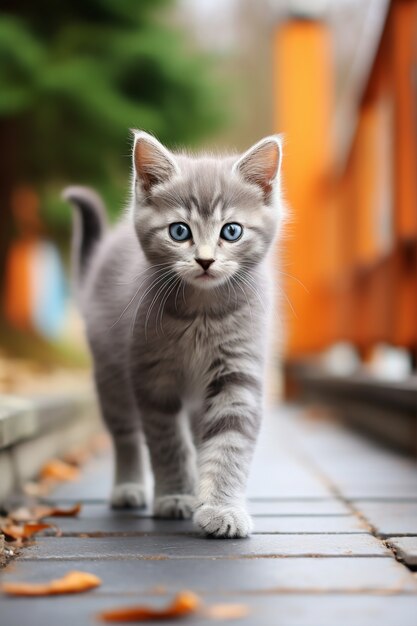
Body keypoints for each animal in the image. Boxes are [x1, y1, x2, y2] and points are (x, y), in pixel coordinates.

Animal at [62, 129, 282, 532]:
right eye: (180, 231)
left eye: (231, 231)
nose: (206, 260)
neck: (202, 311)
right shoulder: (152, 377)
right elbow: (167, 442)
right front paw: (176, 496)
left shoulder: (238, 371)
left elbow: (228, 442)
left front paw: (222, 507)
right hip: (110, 373)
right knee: (126, 435)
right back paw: (130, 486)